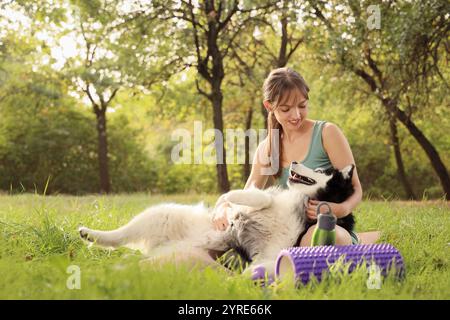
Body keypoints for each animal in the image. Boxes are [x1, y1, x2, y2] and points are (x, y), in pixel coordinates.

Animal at [80, 164, 356, 276]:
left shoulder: (271, 253)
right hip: (160, 213)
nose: (296, 162)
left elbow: (264, 265)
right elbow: (258, 197)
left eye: (319, 170)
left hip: (171, 251)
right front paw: (228, 199)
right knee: (118, 236)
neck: (307, 200)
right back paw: (90, 233)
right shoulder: (267, 199)